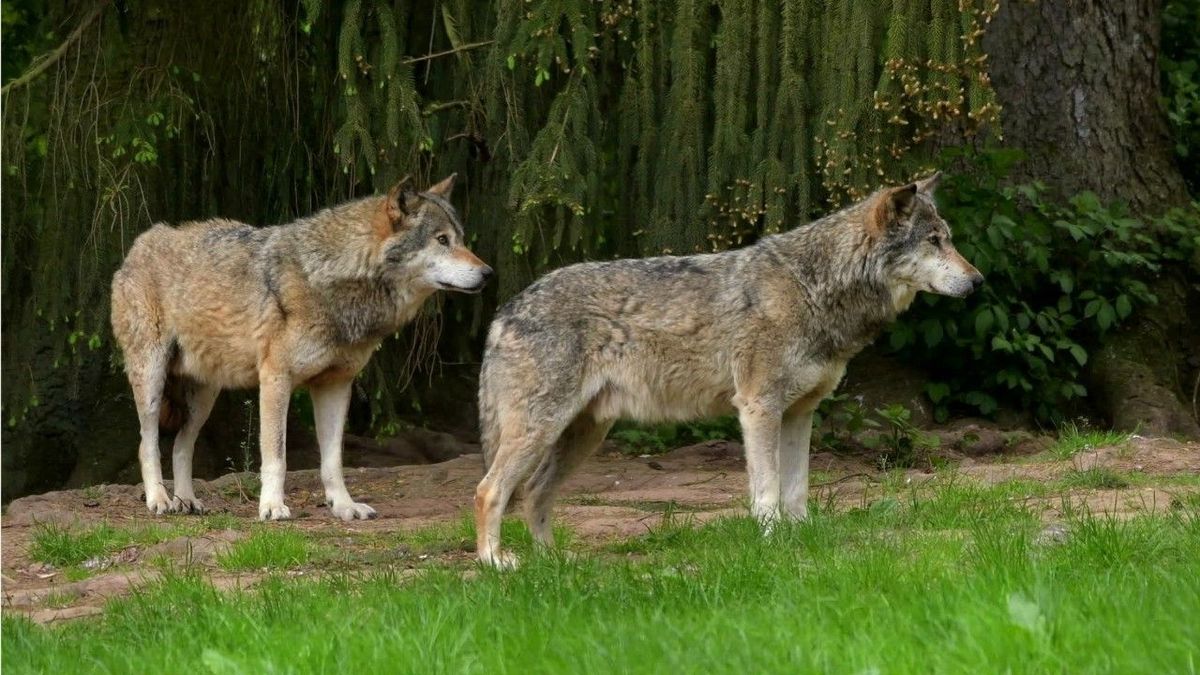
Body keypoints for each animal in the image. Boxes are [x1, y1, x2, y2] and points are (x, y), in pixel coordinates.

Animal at [110, 172, 489, 521]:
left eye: (461, 239)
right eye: (442, 240)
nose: (488, 273)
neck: (333, 279)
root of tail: (140, 243)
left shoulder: (336, 385)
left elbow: (333, 460)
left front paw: (344, 507)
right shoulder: (276, 379)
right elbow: (276, 456)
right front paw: (272, 507)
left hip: (204, 398)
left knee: (180, 445)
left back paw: (187, 501)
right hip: (153, 381)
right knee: (147, 443)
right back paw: (159, 500)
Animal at [472, 171, 979, 562]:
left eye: (950, 240)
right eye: (935, 242)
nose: (977, 281)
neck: (814, 287)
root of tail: (504, 311)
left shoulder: (800, 413)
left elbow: (796, 489)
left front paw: (804, 539)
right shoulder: (758, 408)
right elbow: (768, 492)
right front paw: (773, 545)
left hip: (582, 435)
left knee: (535, 494)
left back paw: (554, 563)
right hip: (542, 430)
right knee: (489, 491)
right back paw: (497, 563)